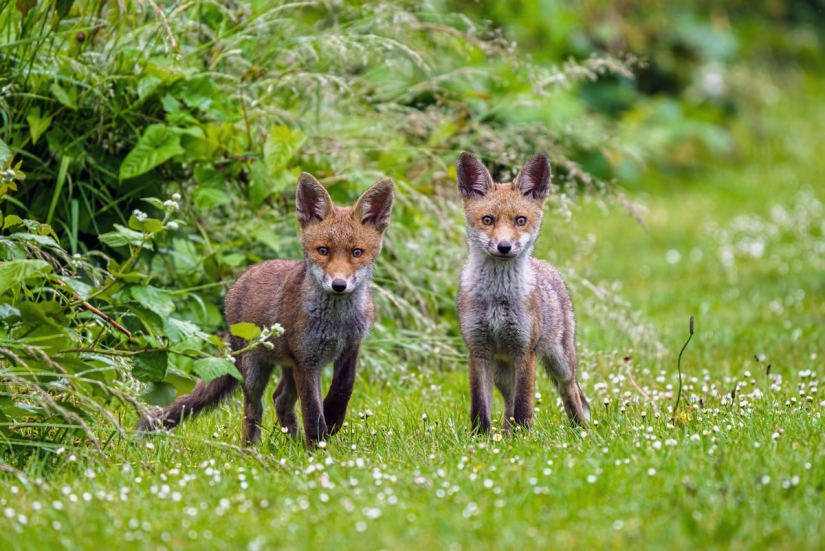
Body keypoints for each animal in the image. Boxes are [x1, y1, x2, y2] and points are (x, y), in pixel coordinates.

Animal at [139, 172, 394, 447]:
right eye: (323, 251)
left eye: (357, 252)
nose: (339, 285)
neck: (337, 323)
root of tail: (243, 277)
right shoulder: (307, 361)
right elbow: (312, 411)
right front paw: (318, 446)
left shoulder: (349, 347)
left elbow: (343, 388)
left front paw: (333, 418)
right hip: (255, 370)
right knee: (253, 408)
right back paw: (251, 448)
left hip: (288, 366)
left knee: (279, 399)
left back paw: (292, 443)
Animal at [455, 151, 590, 433]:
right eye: (488, 220)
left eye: (520, 221)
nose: (504, 246)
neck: (497, 297)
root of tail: (547, 266)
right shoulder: (478, 351)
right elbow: (480, 406)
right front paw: (481, 437)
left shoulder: (524, 351)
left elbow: (524, 405)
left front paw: (525, 437)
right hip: (502, 371)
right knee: (507, 403)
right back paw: (506, 435)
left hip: (560, 361)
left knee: (569, 389)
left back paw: (581, 428)